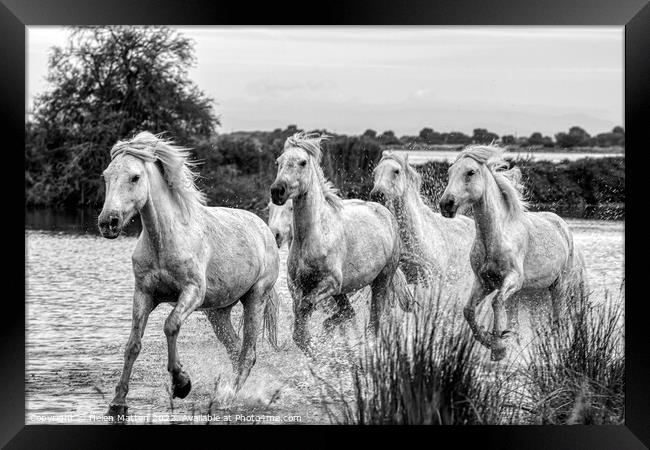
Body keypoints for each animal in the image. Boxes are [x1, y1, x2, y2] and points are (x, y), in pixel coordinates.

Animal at [98, 132, 278, 416]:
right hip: (218, 312)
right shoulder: (143, 293)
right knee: (235, 349)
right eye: (106, 176)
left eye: (135, 177)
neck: (164, 239)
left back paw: (227, 398)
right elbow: (133, 344)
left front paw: (181, 383)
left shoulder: (192, 292)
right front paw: (118, 402)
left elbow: (171, 325)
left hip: (256, 297)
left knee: (248, 353)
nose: (108, 223)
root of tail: (264, 228)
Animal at [268, 133, 410, 356]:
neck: (314, 236)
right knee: (348, 312)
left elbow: (305, 308)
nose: (277, 191)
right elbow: (299, 329)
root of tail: (385, 212)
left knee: (373, 323)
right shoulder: (296, 287)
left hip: (381, 280)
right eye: (278, 162)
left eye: (303, 162)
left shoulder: (330, 283)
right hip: (344, 291)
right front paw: (319, 350)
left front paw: (321, 351)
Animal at [438, 146, 584, 360]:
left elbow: (497, 302)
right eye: (449, 172)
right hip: (526, 294)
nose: (446, 204)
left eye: (470, 172)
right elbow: (469, 311)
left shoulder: (513, 278)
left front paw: (499, 345)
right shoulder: (484, 281)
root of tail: (562, 225)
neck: (496, 237)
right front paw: (490, 341)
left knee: (559, 319)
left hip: (559, 286)